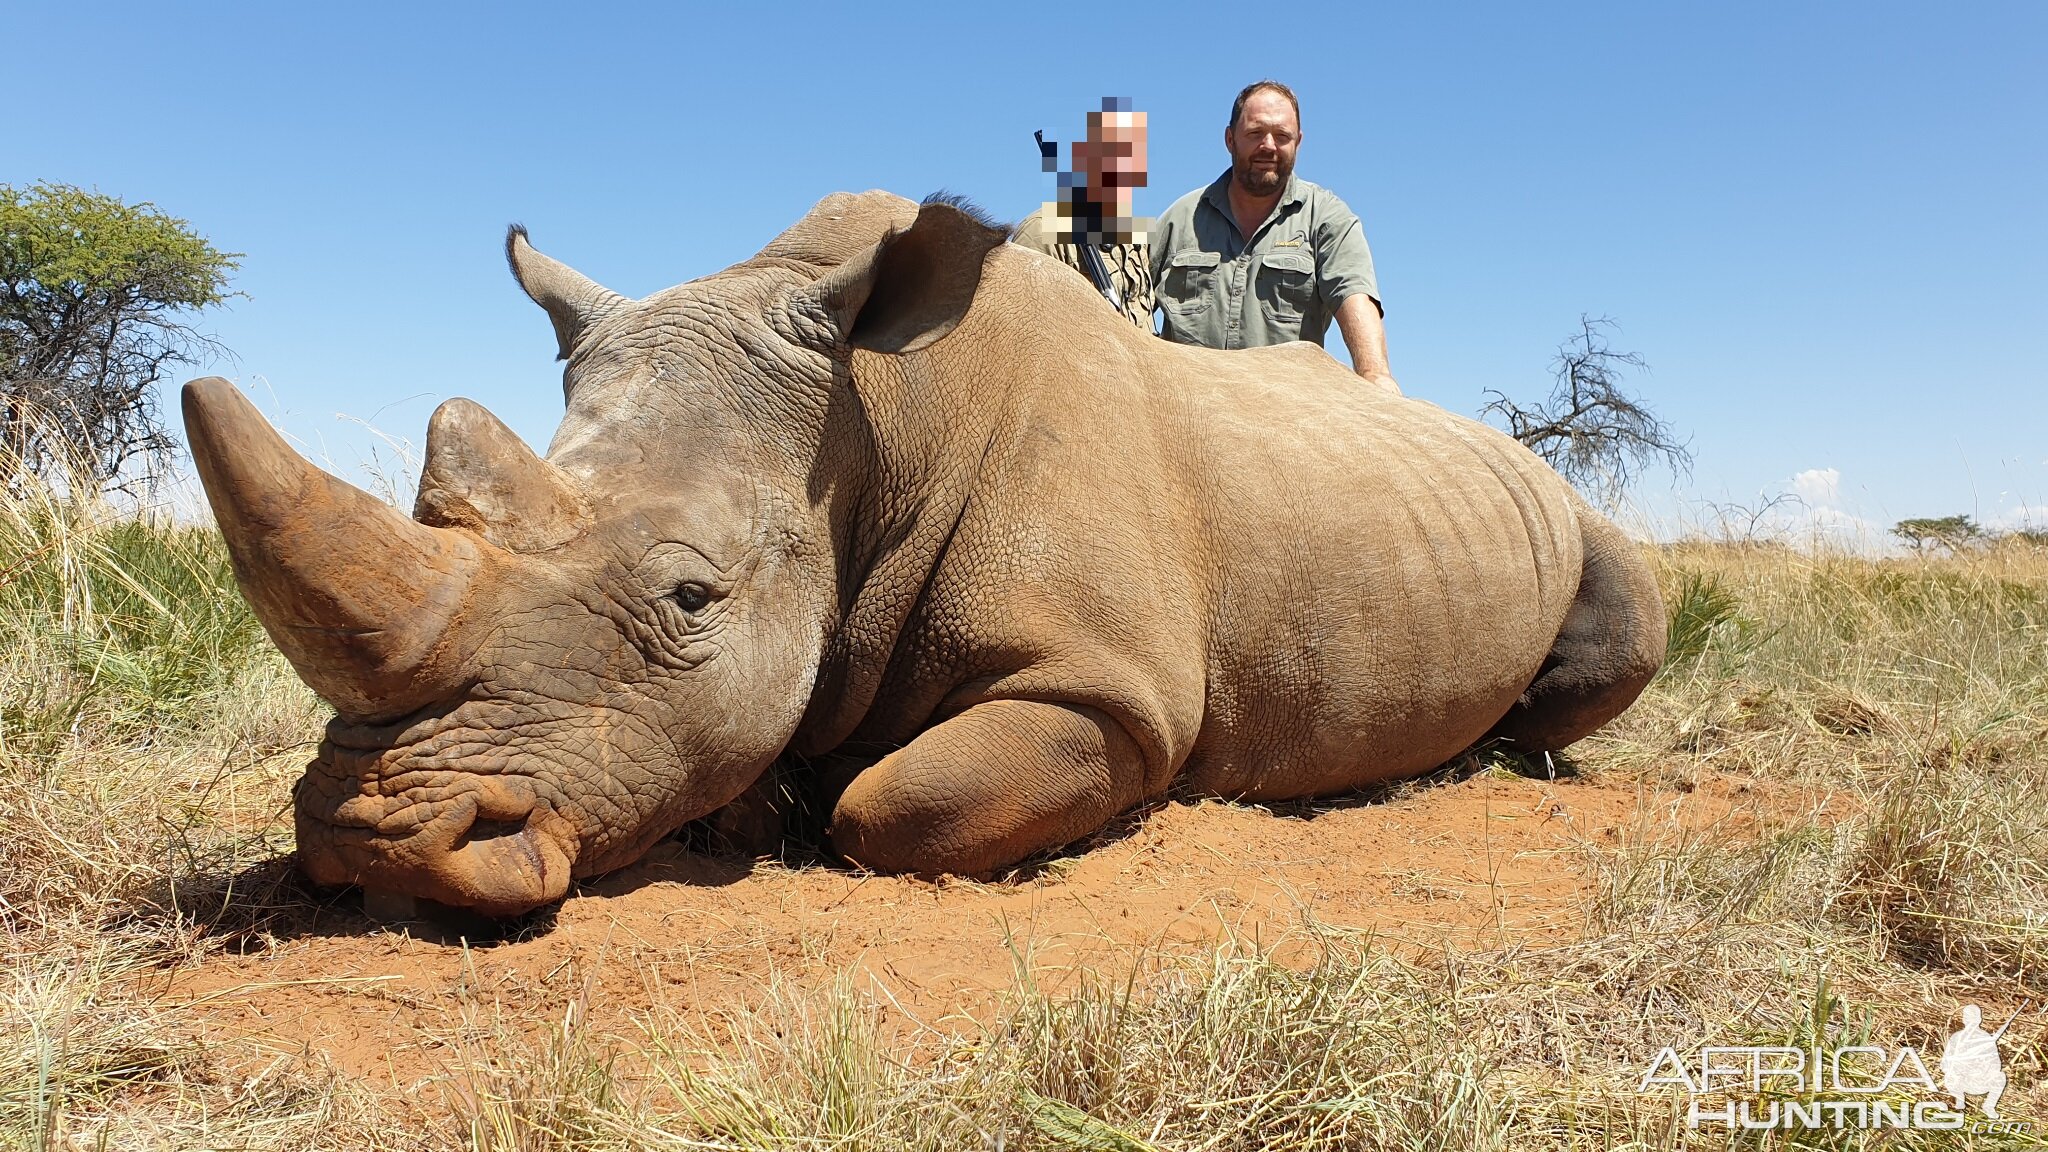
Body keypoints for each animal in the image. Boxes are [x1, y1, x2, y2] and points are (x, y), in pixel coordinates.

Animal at [180, 188, 1662, 914]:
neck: (870, 421)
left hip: (1576, 512)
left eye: (690, 595)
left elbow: (896, 808)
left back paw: (1488, 759)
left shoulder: (1105, 687)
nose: (375, 848)